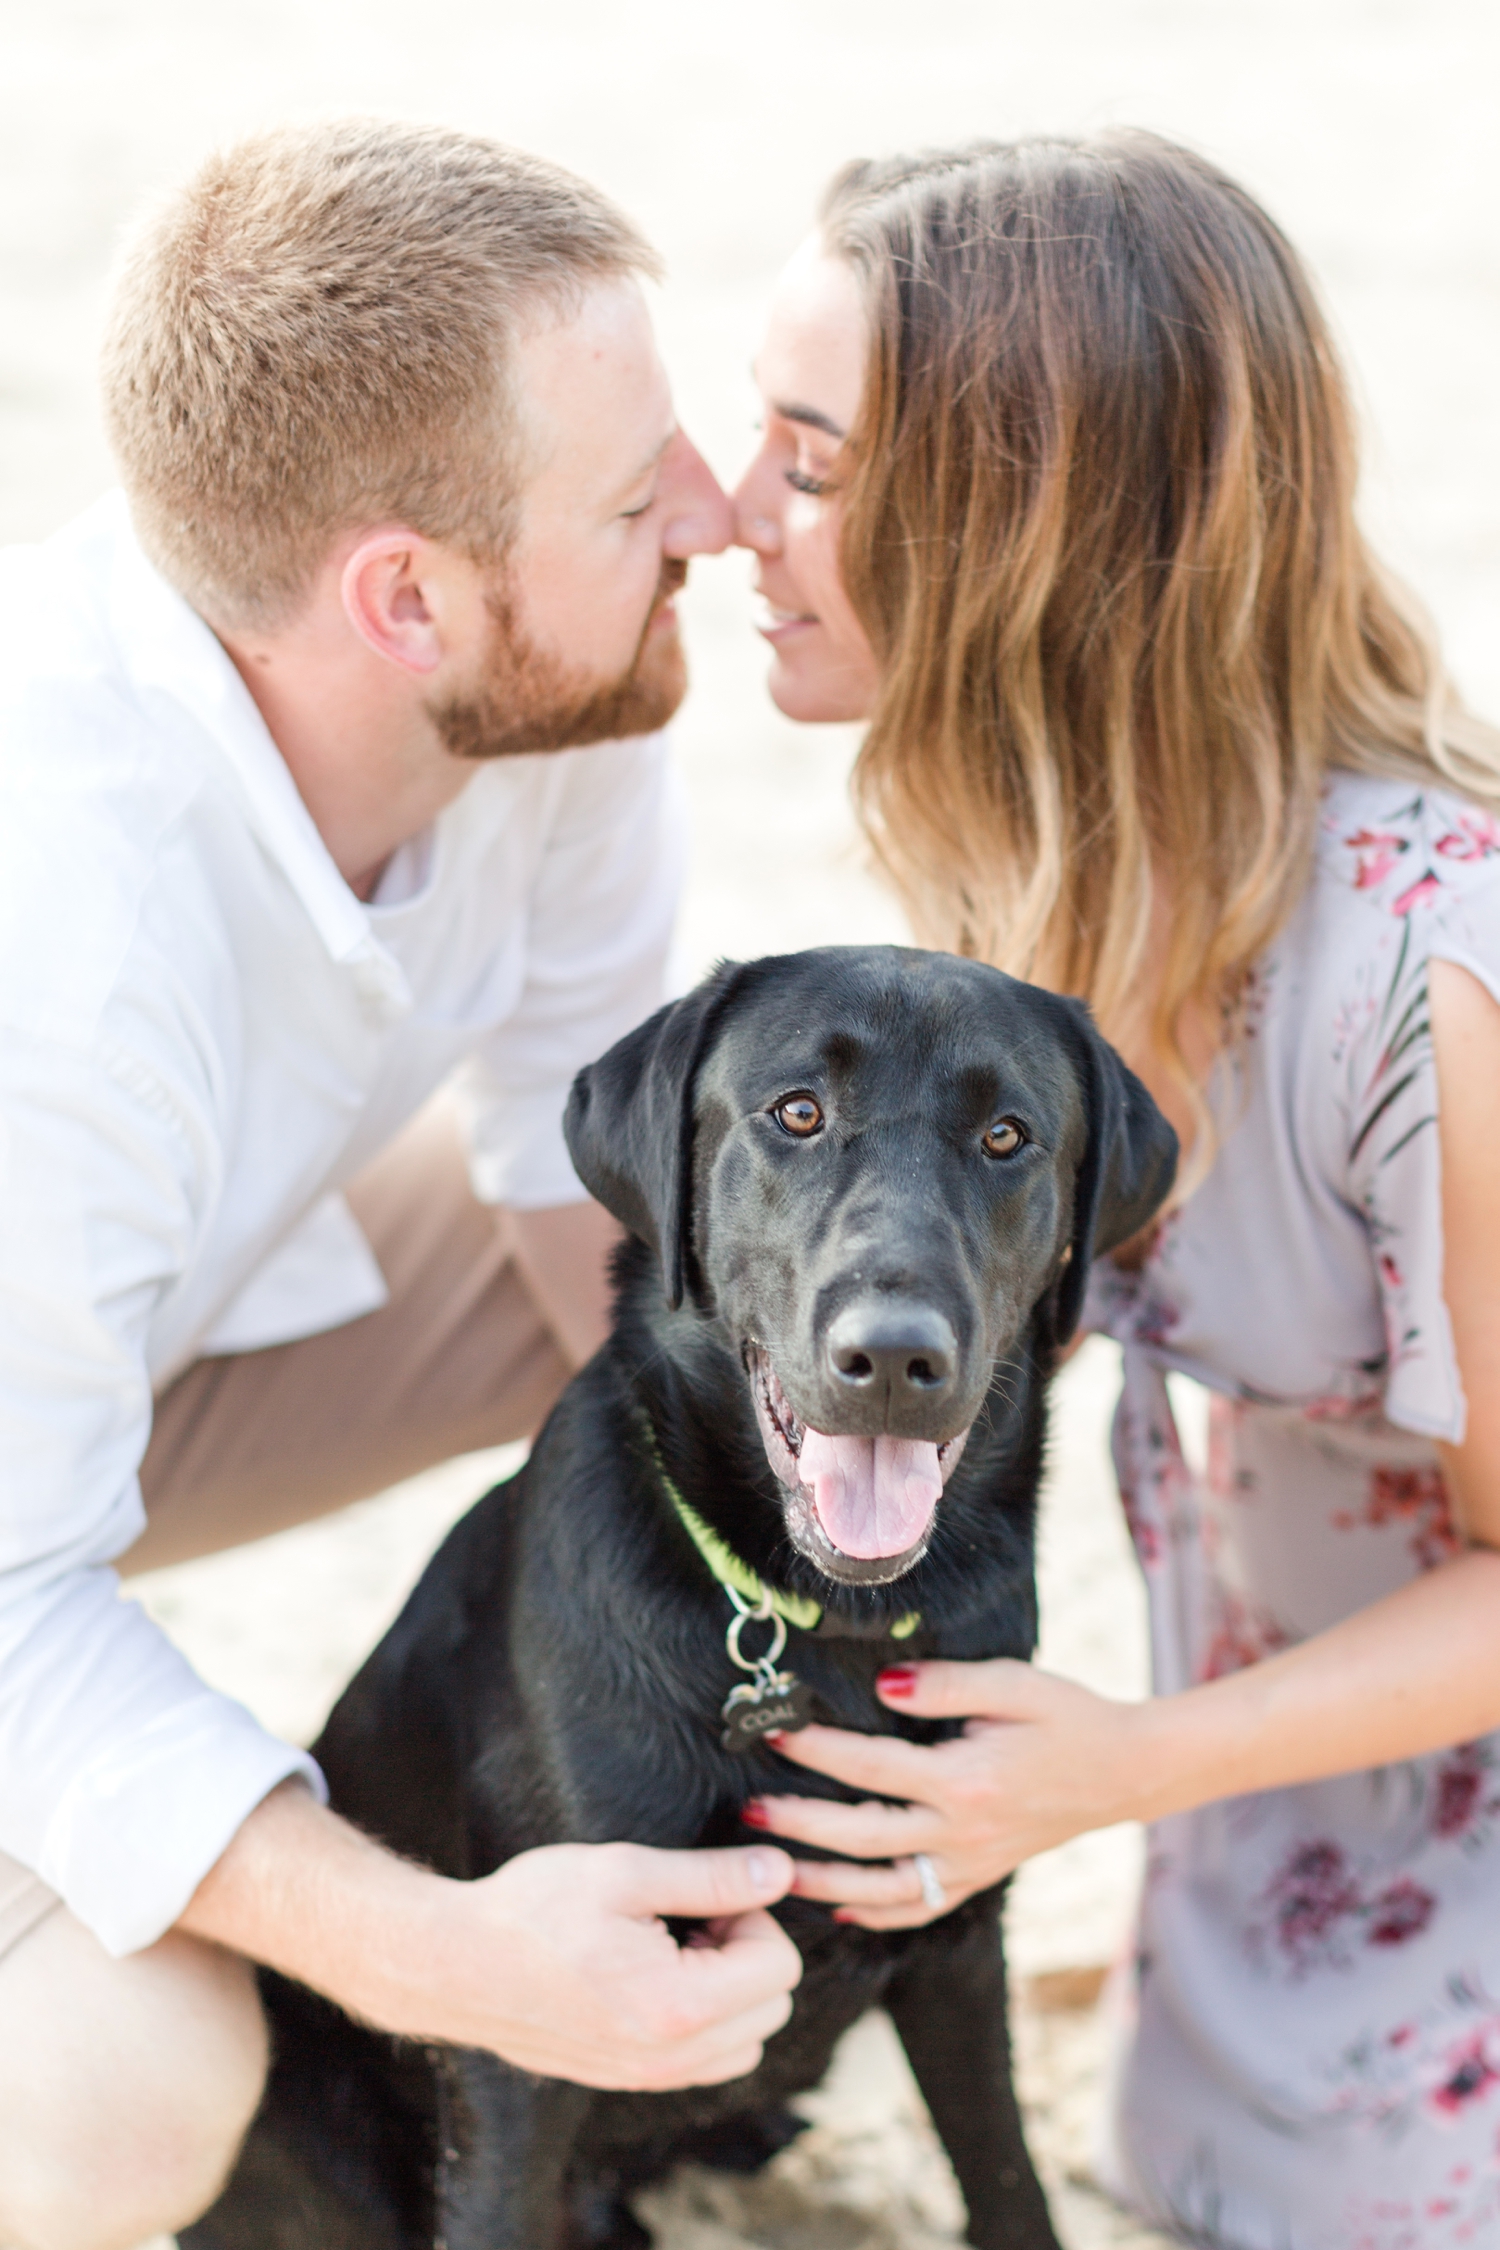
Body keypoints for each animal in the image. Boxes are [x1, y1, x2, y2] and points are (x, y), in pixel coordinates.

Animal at [184, 940, 1169, 2250]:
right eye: (797, 1113)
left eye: (1007, 1136)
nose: (894, 1359)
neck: (820, 1630)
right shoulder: (534, 2007)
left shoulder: (956, 1935)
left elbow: (1005, 2176)